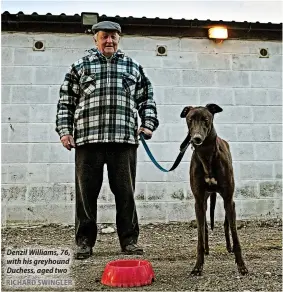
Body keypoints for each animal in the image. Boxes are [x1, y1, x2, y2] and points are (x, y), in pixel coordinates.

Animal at [182, 104, 248, 276]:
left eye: (206, 119)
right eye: (190, 119)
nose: (196, 139)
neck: (206, 155)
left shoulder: (228, 198)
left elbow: (235, 233)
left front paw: (241, 266)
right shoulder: (198, 200)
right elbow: (200, 234)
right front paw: (198, 266)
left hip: (228, 203)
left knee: (226, 224)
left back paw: (229, 247)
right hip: (204, 201)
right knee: (204, 225)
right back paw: (206, 249)